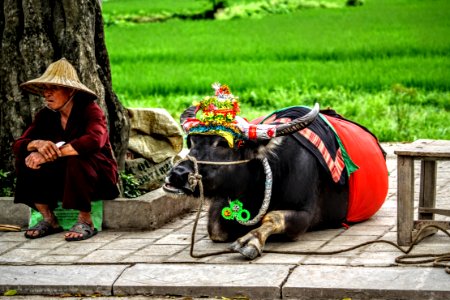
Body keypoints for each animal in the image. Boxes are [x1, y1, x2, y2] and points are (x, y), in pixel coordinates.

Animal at [163, 85, 388, 260]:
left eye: (222, 144)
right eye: (192, 141)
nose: (177, 175)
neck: (259, 183)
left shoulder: (305, 214)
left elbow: (273, 217)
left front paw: (250, 241)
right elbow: (216, 230)